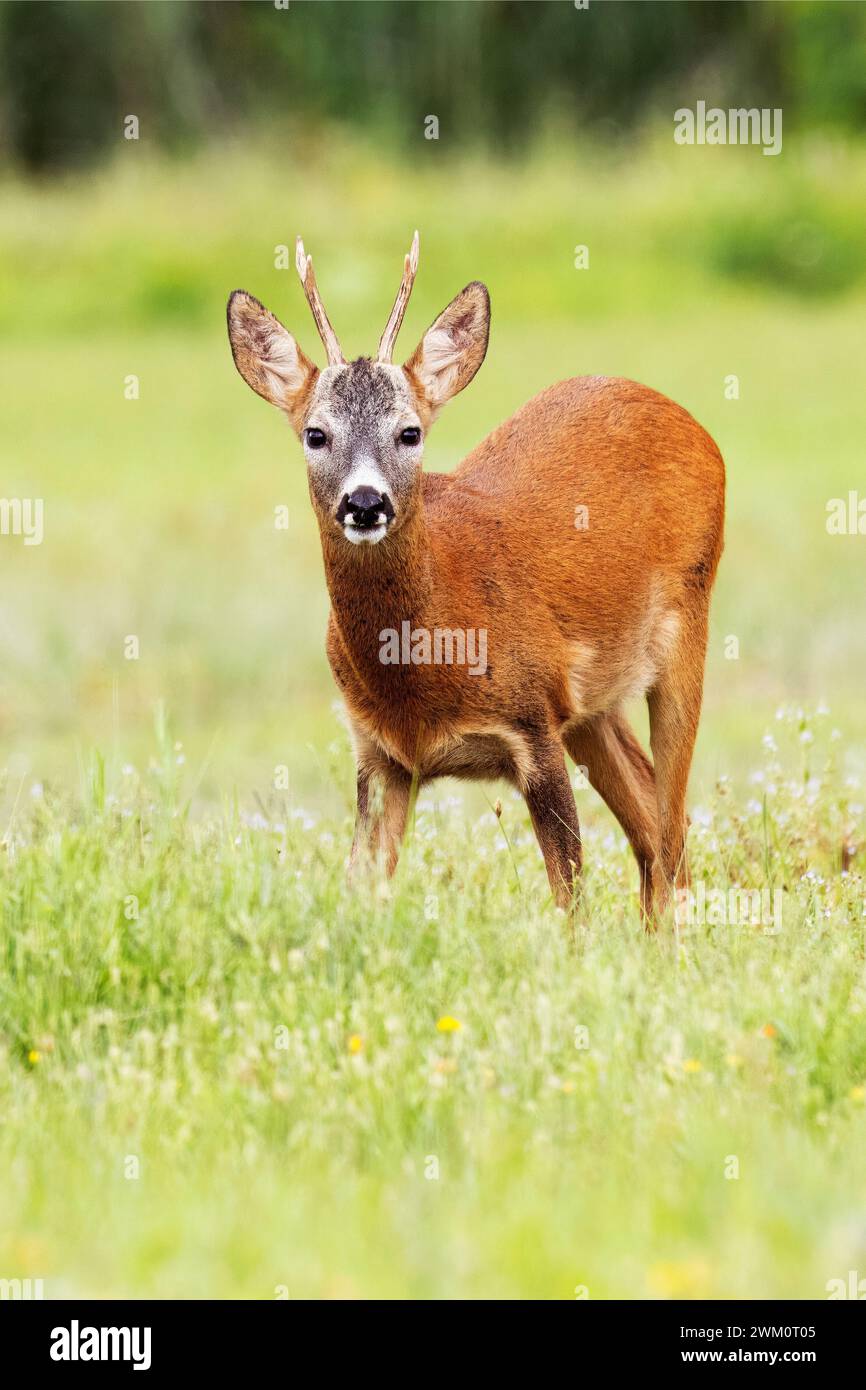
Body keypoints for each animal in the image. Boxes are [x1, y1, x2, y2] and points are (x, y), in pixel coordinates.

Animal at [227, 234, 725, 920]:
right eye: (315, 433)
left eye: (410, 431)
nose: (365, 502)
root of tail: (692, 423)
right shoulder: (378, 753)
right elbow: (362, 887)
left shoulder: (532, 723)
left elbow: (569, 897)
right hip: (591, 706)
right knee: (651, 820)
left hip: (687, 620)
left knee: (672, 826)